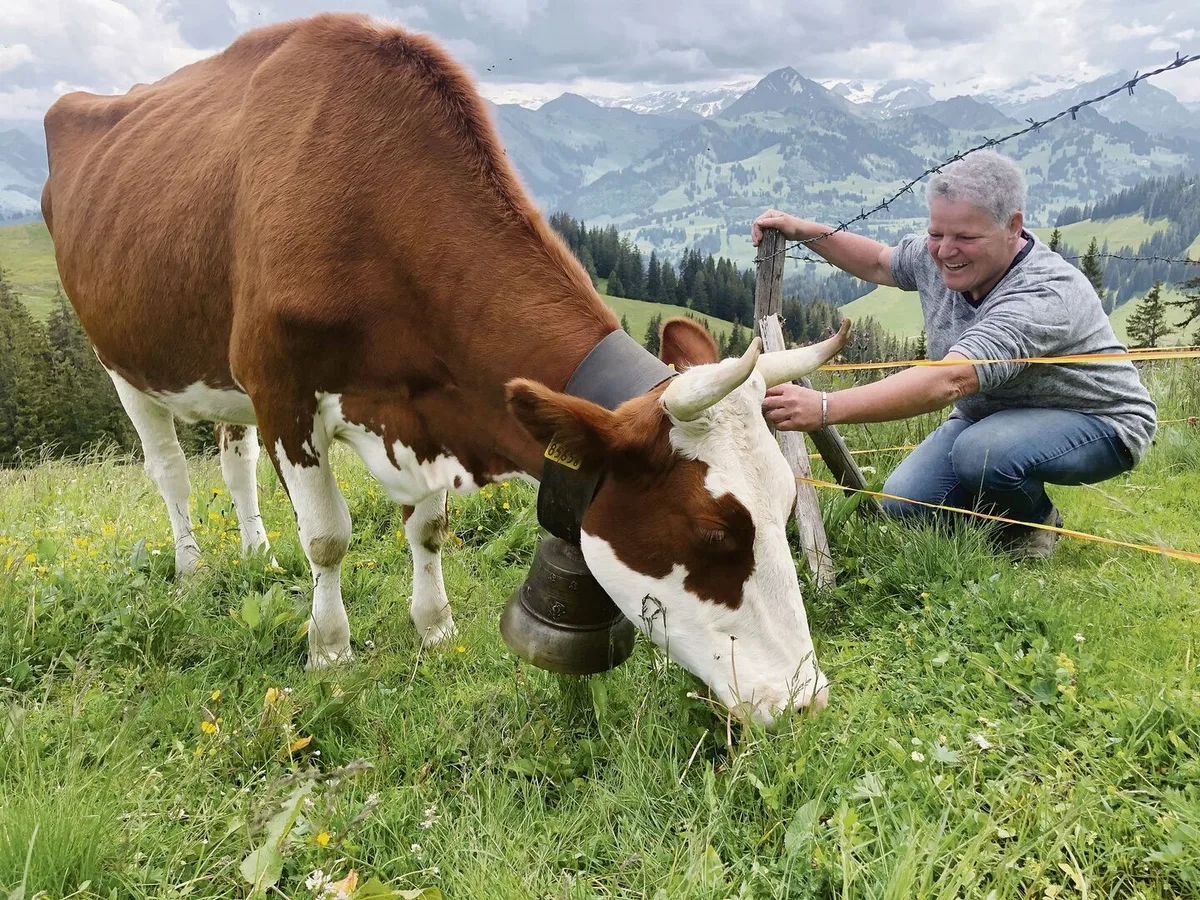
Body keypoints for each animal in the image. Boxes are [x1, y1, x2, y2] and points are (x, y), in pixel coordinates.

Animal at [40, 12, 849, 725]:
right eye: (714, 533)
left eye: (786, 505)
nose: (806, 700)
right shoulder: (281, 393)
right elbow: (327, 536)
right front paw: (329, 650)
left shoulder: (421, 408)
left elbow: (428, 528)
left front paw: (433, 626)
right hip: (124, 363)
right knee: (171, 472)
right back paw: (192, 570)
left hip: (216, 381)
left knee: (232, 463)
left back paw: (256, 555)